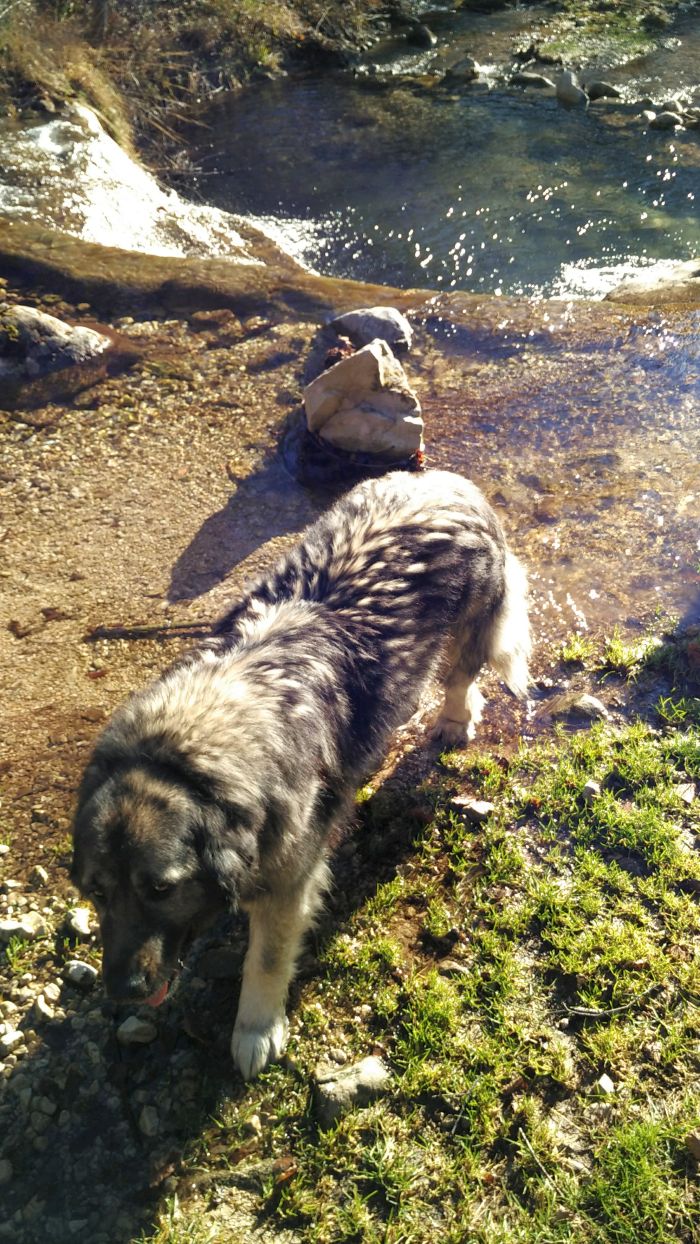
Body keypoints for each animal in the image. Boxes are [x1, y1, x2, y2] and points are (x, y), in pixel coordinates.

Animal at [72, 470, 532, 1074]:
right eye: (96, 892)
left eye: (160, 889)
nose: (122, 992)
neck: (186, 750)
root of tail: (445, 481)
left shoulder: (288, 881)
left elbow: (266, 959)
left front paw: (255, 1028)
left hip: (467, 631)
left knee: (460, 678)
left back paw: (455, 719)